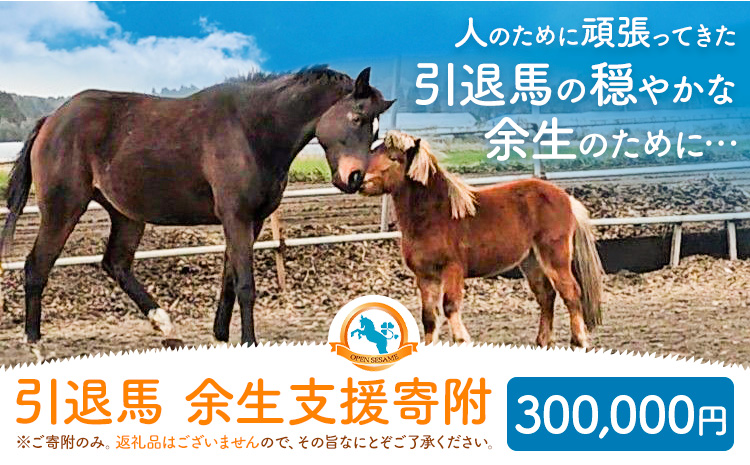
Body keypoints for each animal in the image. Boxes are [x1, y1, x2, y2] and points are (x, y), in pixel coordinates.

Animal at [0, 66, 394, 347]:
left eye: (375, 131)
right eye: (356, 118)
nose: (355, 178)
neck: (252, 129)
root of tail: (51, 120)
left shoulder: (252, 221)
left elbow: (229, 280)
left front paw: (221, 336)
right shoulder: (236, 217)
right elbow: (246, 284)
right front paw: (249, 341)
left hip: (126, 215)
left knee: (115, 263)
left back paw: (164, 324)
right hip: (63, 208)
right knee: (36, 266)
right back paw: (35, 343)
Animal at [359, 131, 604, 348]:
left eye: (394, 158)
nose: (359, 182)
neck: (435, 214)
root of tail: (567, 199)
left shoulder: (453, 270)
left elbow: (450, 307)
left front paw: (462, 340)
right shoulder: (425, 276)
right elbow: (429, 317)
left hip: (555, 258)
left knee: (571, 293)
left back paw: (579, 342)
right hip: (531, 261)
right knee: (546, 296)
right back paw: (543, 341)